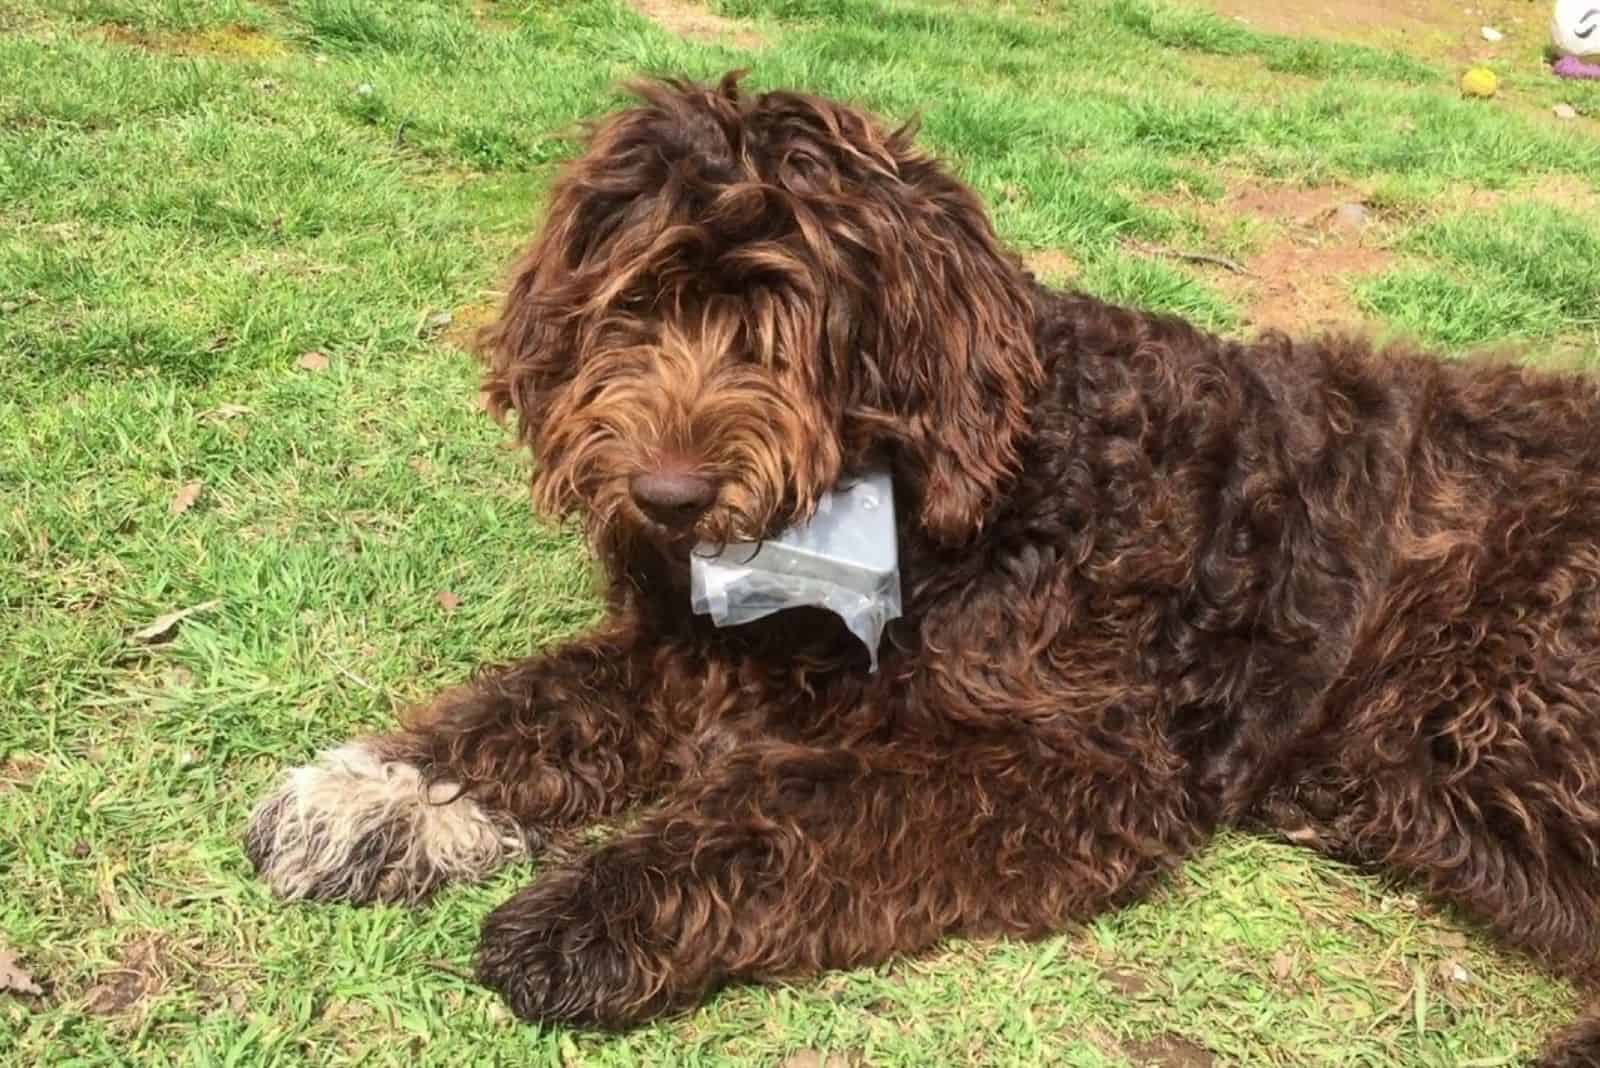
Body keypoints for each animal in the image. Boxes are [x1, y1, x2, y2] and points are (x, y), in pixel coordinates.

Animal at [243, 70, 1600, 1061]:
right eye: (632, 307)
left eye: (785, 328)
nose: (667, 500)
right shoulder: (696, 649)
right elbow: (535, 703)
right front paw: (375, 795)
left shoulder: (1076, 766)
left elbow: (795, 810)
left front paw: (594, 907)